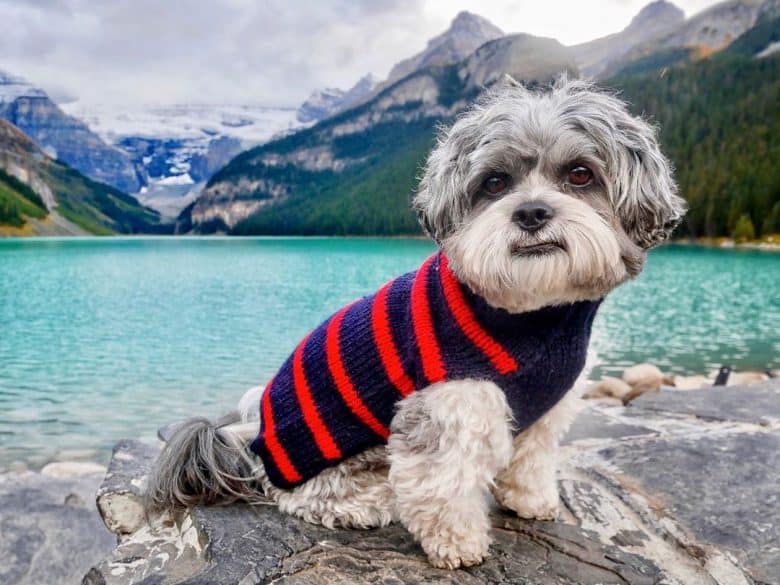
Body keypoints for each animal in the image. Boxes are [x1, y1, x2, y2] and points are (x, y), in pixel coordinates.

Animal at [146, 75, 684, 568]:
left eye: (579, 174)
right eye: (494, 183)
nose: (531, 212)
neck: (529, 313)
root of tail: (250, 442)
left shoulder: (546, 406)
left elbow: (531, 458)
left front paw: (531, 499)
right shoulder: (450, 403)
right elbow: (443, 480)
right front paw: (457, 543)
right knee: (297, 495)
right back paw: (362, 502)